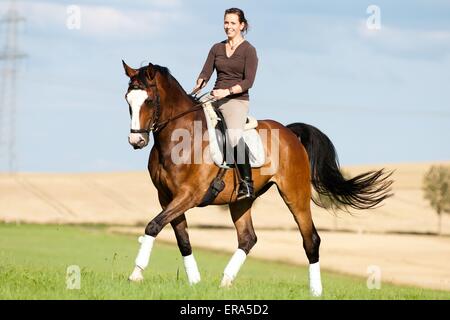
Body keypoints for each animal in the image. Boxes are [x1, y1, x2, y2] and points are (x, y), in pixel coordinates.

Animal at [121, 60, 392, 298]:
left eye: (149, 100)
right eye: (128, 101)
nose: (136, 141)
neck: (181, 138)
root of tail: (289, 132)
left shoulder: (189, 194)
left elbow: (153, 226)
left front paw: (136, 274)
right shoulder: (167, 197)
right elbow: (182, 239)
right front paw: (195, 282)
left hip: (295, 194)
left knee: (310, 239)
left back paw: (315, 291)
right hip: (240, 200)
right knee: (248, 238)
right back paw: (225, 281)